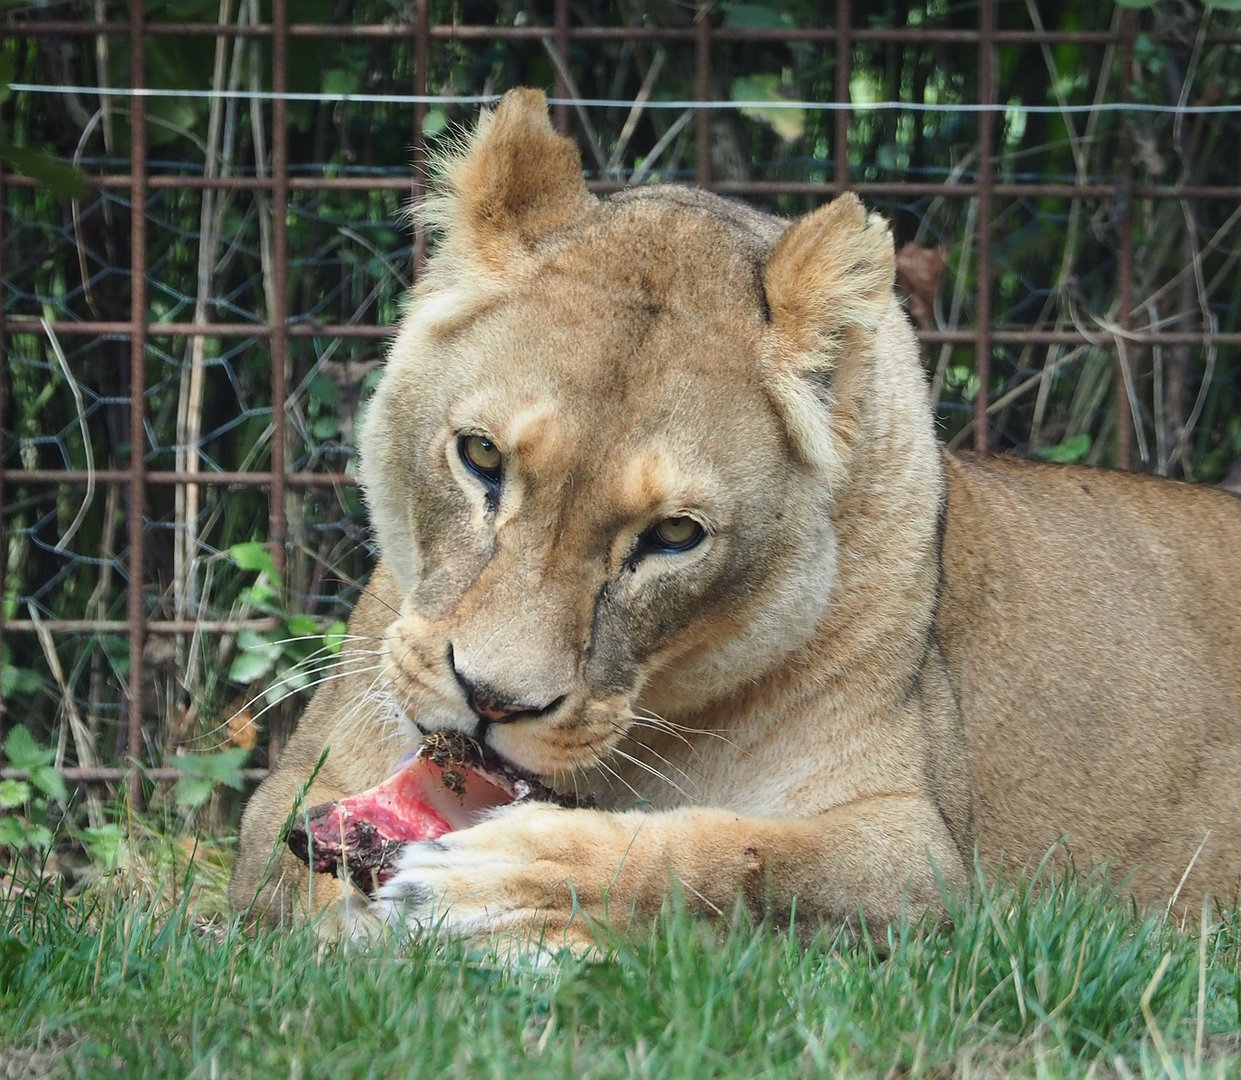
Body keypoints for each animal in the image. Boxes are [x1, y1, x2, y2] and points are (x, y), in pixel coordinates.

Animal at [230, 88, 1241, 949]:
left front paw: (502, 880)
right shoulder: (294, 797)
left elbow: (738, 857)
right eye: (480, 457)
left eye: (674, 536)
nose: (491, 702)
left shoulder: (923, 861)